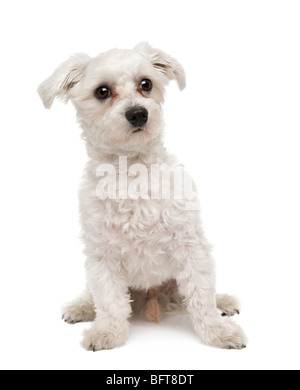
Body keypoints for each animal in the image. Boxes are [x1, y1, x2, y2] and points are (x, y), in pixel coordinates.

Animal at [38, 42, 247, 350]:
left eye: (145, 84)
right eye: (102, 91)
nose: (138, 113)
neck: (132, 172)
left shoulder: (190, 246)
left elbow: (201, 296)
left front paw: (218, 331)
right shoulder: (102, 256)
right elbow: (110, 302)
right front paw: (107, 332)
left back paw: (223, 301)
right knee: (94, 294)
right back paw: (83, 307)